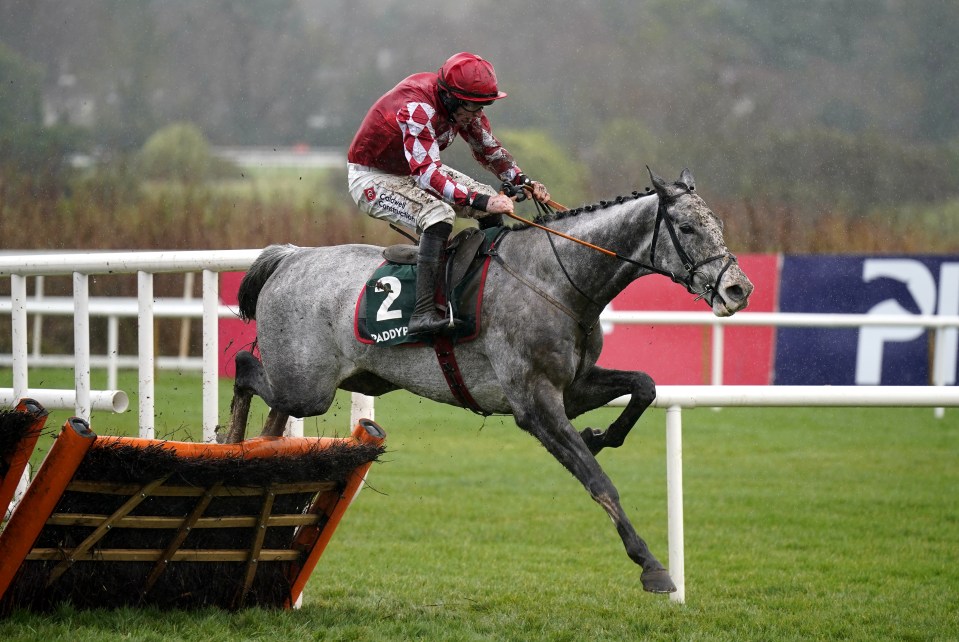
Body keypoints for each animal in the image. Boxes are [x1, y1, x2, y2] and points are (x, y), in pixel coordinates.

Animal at [227, 168, 756, 592]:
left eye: (718, 224)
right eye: (686, 227)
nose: (739, 289)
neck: (554, 279)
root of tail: (290, 256)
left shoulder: (575, 387)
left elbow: (644, 385)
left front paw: (600, 434)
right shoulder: (535, 405)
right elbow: (599, 482)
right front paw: (651, 566)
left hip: (328, 383)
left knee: (274, 413)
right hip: (307, 385)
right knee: (245, 367)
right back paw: (231, 442)